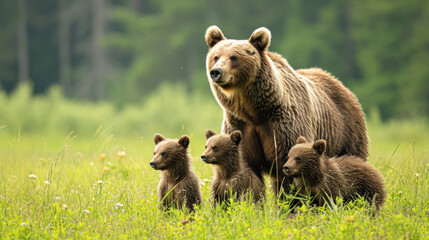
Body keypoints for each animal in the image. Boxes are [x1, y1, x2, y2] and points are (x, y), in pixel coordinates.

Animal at [204, 25, 368, 195]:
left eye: (234, 57)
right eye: (215, 57)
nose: (216, 72)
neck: (254, 110)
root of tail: (341, 85)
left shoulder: (284, 126)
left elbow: (289, 167)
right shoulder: (239, 125)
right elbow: (247, 169)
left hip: (345, 131)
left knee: (352, 157)